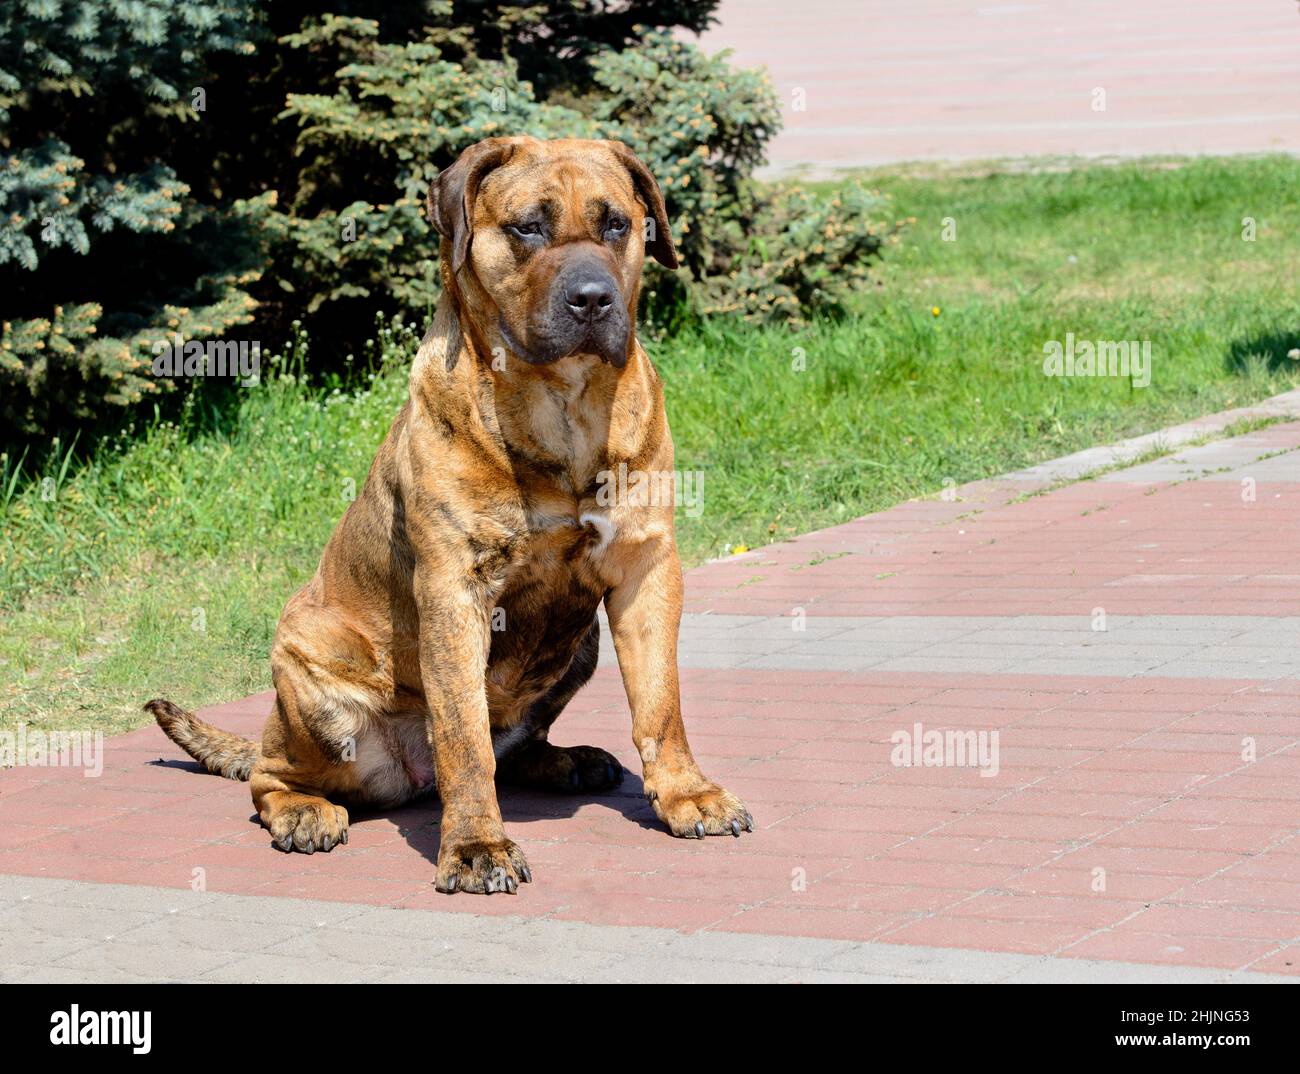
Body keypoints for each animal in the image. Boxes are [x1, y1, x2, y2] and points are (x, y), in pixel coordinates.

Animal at [147, 137, 754, 889]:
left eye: (616, 223)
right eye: (528, 227)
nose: (592, 299)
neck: (562, 406)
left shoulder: (646, 569)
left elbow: (660, 702)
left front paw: (686, 794)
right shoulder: (454, 590)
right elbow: (464, 736)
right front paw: (475, 846)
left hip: (579, 642)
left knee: (517, 741)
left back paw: (569, 760)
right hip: (309, 680)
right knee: (272, 773)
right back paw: (303, 812)